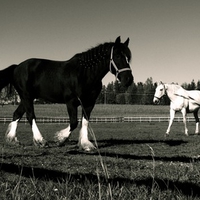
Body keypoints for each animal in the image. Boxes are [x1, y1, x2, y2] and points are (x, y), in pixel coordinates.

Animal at [1, 36, 134, 151]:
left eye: (128, 57)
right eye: (117, 56)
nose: (128, 79)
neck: (84, 73)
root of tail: (16, 67)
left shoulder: (89, 103)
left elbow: (85, 122)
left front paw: (85, 144)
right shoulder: (71, 102)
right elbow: (74, 122)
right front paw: (60, 138)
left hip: (26, 98)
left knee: (16, 114)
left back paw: (12, 140)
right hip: (26, 96)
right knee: (30, 116)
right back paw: (40, 141)